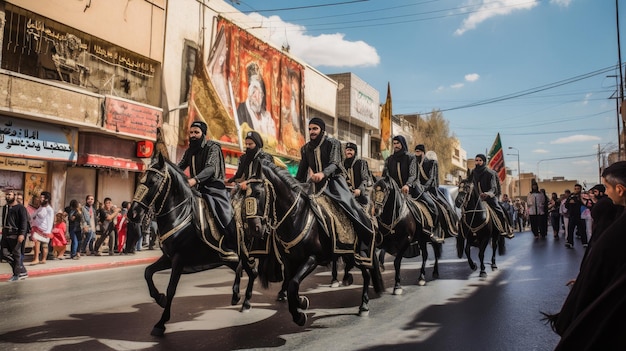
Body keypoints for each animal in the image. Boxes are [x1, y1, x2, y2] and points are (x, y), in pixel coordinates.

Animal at [127, 155, 256, 336]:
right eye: (141, 180)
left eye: (153, 181)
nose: (132, 214)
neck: (180, 215)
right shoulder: (168, 257)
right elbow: (148, 272)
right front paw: (159, 298)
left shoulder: (179, 259)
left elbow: (171, 289)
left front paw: (161, 323)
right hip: (228, 258)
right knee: (243, 269)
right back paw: (241, 300)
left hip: (244, 252)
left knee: (249, 270)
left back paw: (241, 299)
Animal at [243, 162, 380, 328]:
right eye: (245, 195)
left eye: (258, 192)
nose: (253, 229)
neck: (296, 217)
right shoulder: (289, 261)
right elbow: (290, 284)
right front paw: (299, 304)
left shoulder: (312, 258)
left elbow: (293, 283)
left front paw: (299, 313)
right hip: (347, 254)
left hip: (358, 254)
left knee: (366, 274)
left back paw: (364, 306)